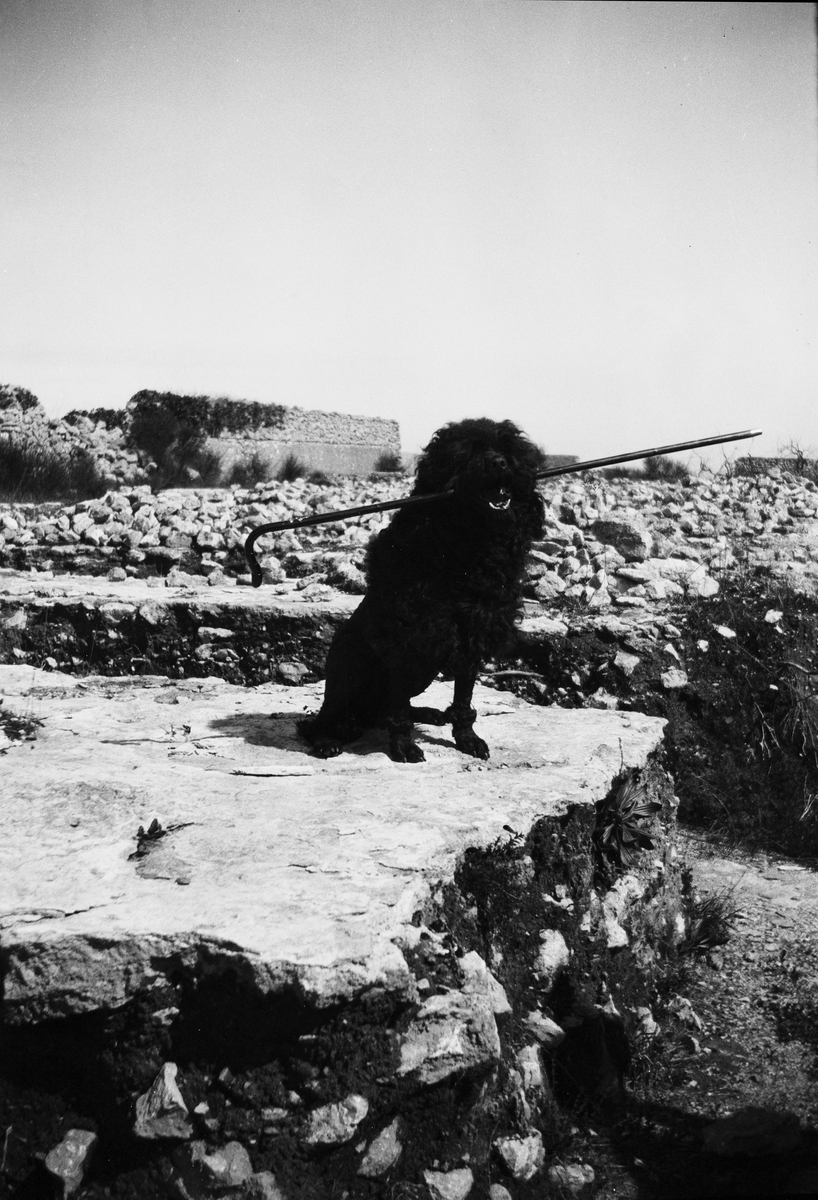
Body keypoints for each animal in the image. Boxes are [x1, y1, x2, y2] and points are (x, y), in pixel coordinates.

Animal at [297, 418, 545, 762]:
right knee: (326, 717)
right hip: (350, 673)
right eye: (466, 453)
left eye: (508, 449)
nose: (499, 463)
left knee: (380, 711)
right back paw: (325, 739)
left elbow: (463, 700)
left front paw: (467, 739)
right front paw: (403, 746)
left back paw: (428, 713)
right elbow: (399, 710)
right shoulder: (406, 639)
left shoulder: (472, 635)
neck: (468, 545)